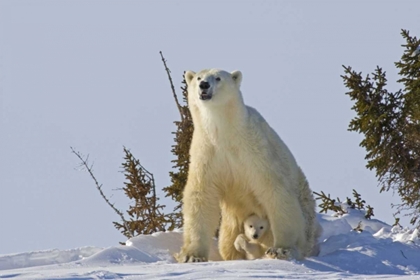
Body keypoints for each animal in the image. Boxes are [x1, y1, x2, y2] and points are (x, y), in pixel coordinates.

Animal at [176, 68, 318, 262]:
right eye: (198, 77)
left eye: (218, 78)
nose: (204, 85)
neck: (224, 133)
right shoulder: (207, 153)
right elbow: (201, 195)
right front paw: (191, 256)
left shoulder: (254, 150)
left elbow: (275, 190)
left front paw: (281, 249)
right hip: (232, 221)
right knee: (227, 240)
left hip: (305, 206)